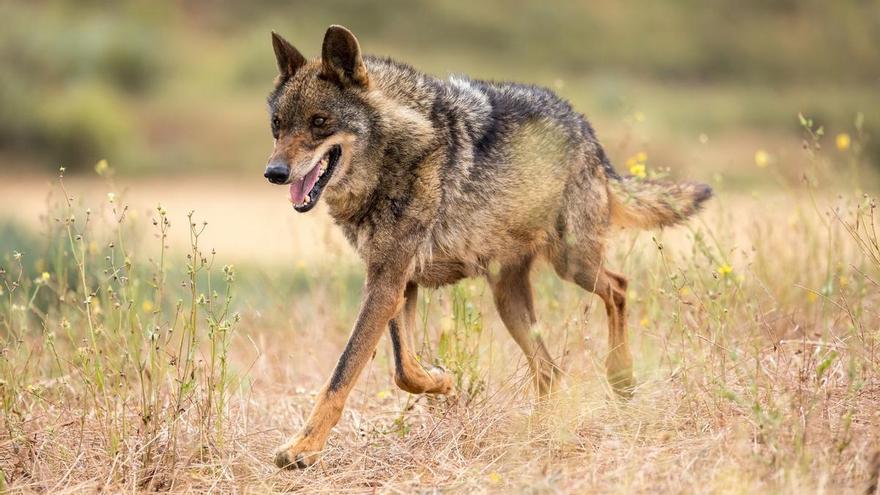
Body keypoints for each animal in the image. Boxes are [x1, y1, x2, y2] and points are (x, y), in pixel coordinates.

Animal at [264, 25, 711, 469]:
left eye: (320, 122)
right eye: (277, 125)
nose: (274, 173)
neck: (396, 153)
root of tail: (585, 127)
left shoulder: (388, 283)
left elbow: (343, 372)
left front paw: (303, 447)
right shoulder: (394, 281)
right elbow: (404, 369)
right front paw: (441, 381)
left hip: (572, 264)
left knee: (618, 287)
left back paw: (620, 377)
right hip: (510, 300)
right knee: (550, 369)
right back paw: (541, 432)